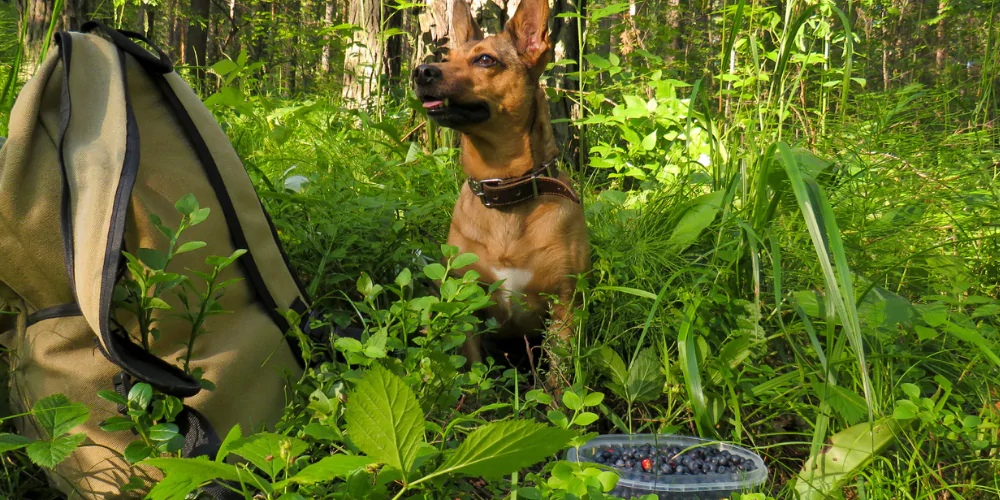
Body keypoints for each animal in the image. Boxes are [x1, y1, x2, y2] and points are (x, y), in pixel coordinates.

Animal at [412, 0, 588, 382]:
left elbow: (558, 379)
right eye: (446, 57)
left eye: (485, 60)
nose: (421, 72)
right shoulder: (465, 304)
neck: (504, 189)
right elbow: (473, 370)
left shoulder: (564, 308)